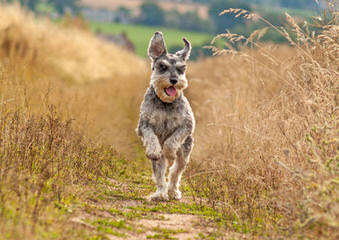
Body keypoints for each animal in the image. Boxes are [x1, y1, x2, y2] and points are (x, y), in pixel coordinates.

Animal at [137, 31, 195, 201]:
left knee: (175, 172)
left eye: (182, 68)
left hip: (185, 154)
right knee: (160, 174)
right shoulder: (144, 124)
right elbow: (150, 137)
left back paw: (173, 192)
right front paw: (153, 150)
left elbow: (173, 140)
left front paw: (169, 151)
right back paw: (161, 194)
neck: (165, 103)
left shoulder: (187, 125)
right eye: (163, 66)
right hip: (160, 161)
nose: (174, 80)